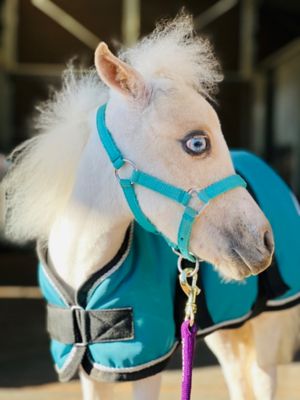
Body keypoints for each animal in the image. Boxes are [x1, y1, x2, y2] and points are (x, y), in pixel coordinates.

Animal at [2, 14, 296, 400]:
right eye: (197, 143)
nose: (263, 241)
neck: (82, 270)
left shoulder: (144, 363)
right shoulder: (91, 370)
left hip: (267, 327)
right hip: (227, 331)